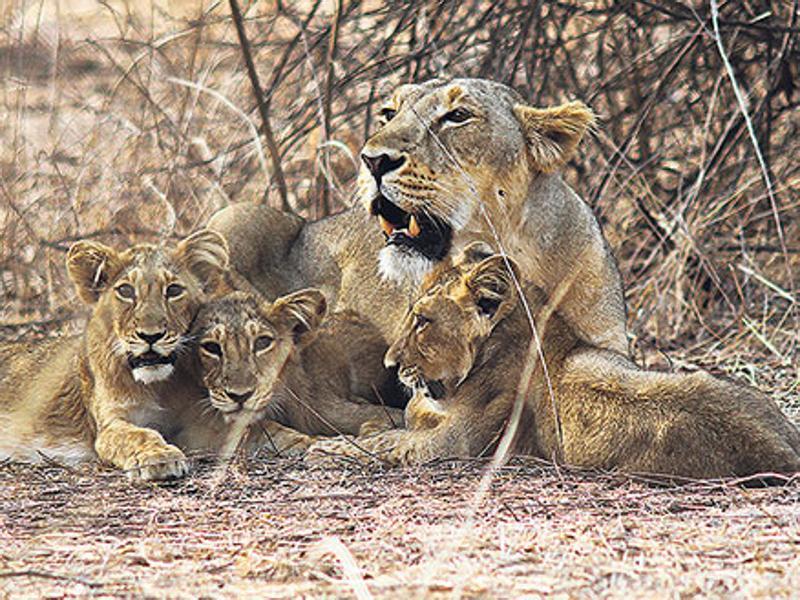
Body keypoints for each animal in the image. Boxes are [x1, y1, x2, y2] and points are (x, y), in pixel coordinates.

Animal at [0, 230, 229, 480]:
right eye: (126, 291)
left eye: (174, 291)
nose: (150, 336)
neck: (159, 386)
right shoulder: (109, 425)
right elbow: (139, 434)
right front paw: (159, 456)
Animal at [308, 245, 800, 481]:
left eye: (423, 321)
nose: (391, 364)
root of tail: (783, 450)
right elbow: (389, 424)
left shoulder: (455, 445)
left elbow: (385, 444)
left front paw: (323, 449)